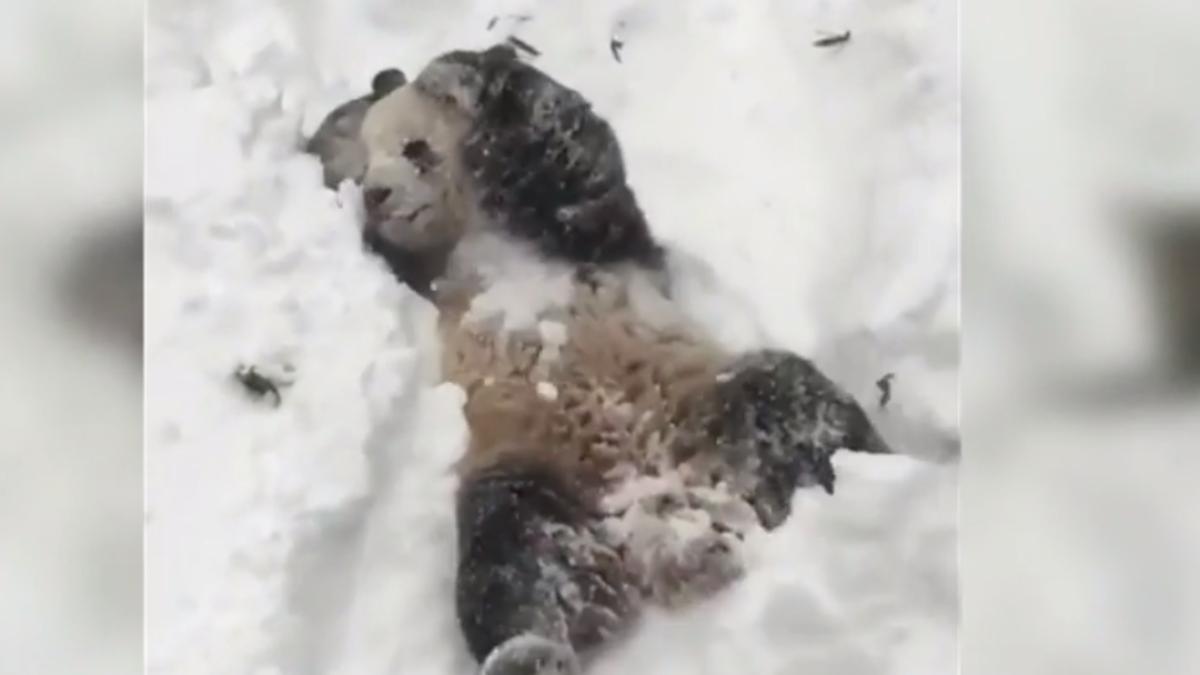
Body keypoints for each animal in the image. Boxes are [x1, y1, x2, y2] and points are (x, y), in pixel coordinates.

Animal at [310, 46, 894, 675]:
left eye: (415, 149)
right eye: (369, 164)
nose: (377, 195)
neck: (475, 238)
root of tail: (666, 519)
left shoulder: (583, 234)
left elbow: (571, 151)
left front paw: (455, 73)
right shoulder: (427, 280)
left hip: (709, 395)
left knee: (800, 402)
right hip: (531, 467)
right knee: (514, 562)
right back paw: (530, 653)